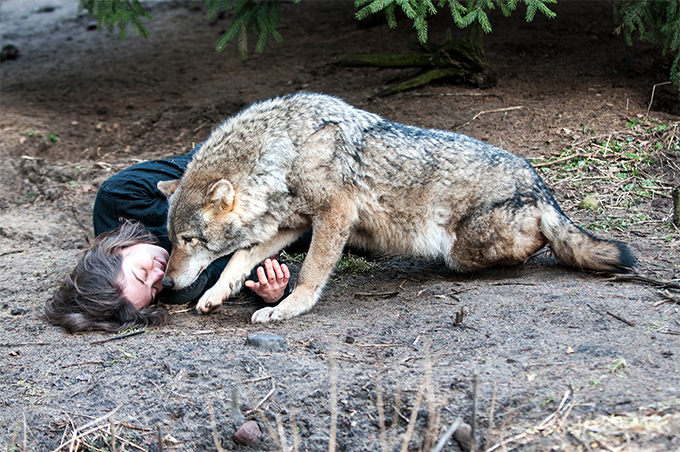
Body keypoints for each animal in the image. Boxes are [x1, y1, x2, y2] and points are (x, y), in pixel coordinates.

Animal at [157, 92, 636, 322]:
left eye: (189, 240)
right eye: (172, 240)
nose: (166, 283)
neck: (285, 151)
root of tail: (542, 187)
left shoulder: (334, 216)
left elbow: (310, 273)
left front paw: (287, 308)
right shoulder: (291, 225)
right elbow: (238, 260)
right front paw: (216, 295)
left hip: (463, 248)